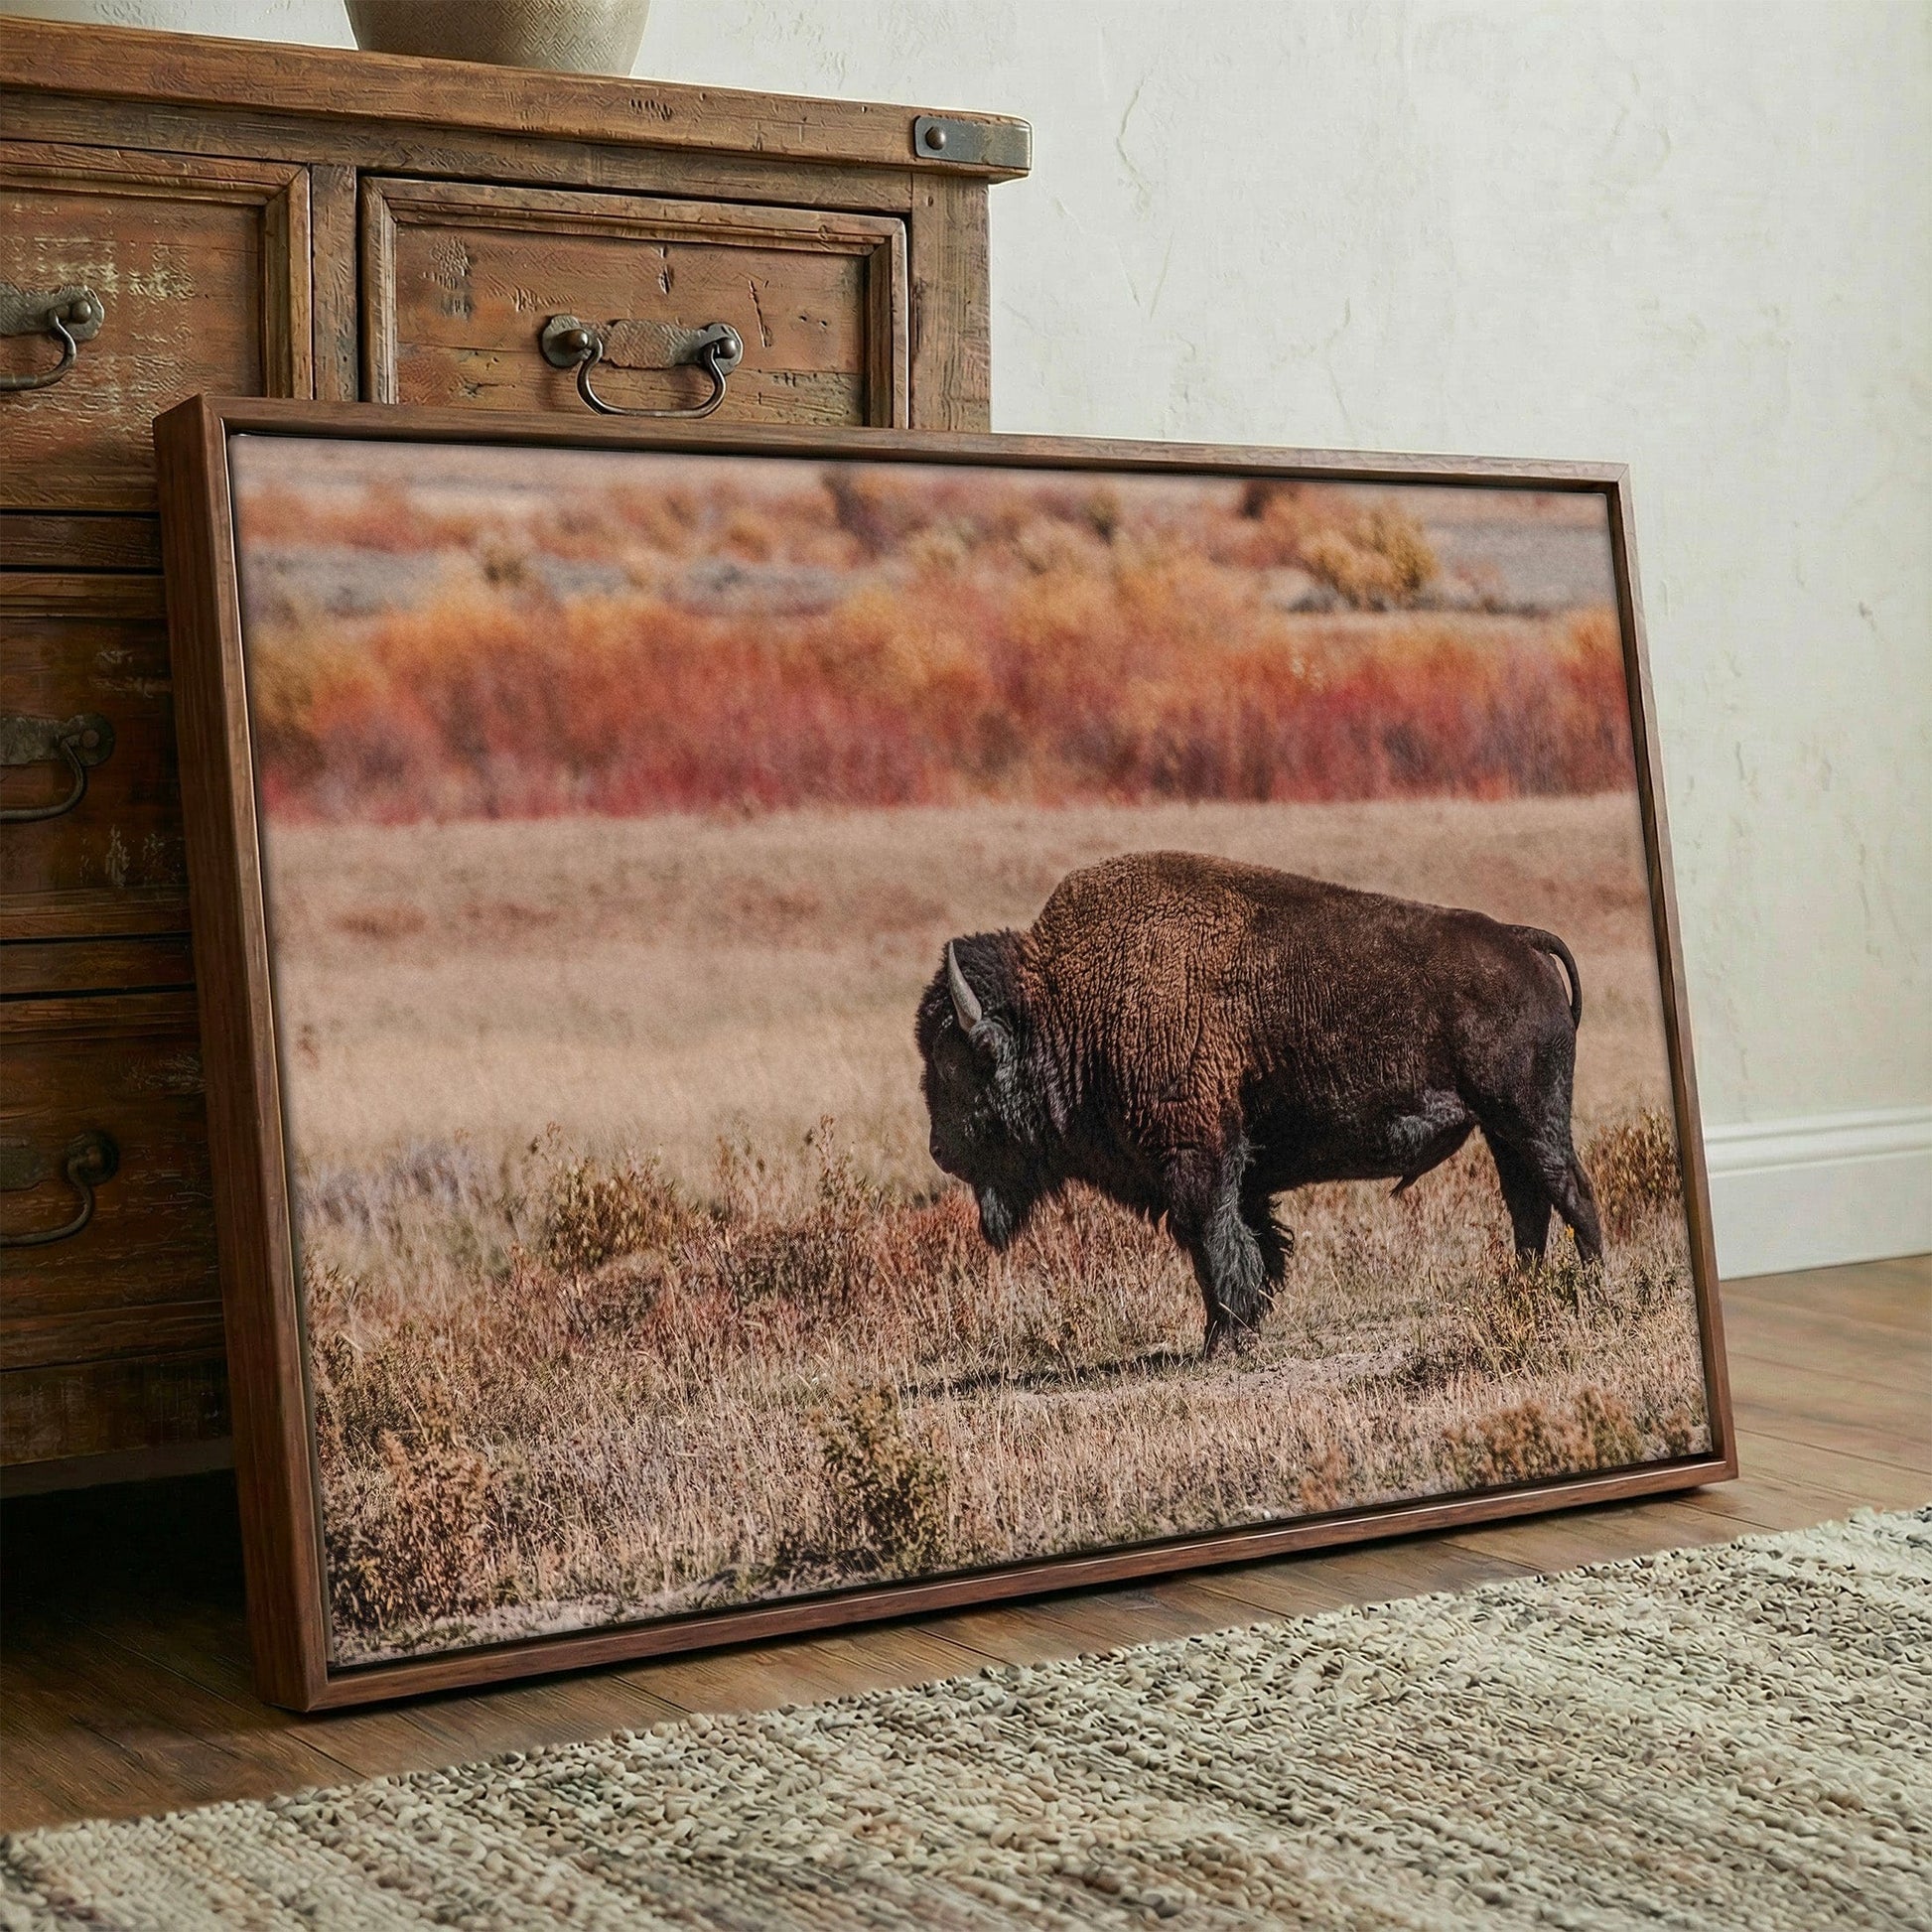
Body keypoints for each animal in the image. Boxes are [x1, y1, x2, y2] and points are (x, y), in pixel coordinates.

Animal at [916, 851, 1603, 1356]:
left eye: (953, 1065)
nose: (939, 1150)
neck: (1069, 1003)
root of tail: (1520, 941)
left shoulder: (1195, 1159)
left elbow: (1214, 1243)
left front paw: (1221, 1341)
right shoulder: (1237, 1167)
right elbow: (1252, 1242)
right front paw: (1240, 1327)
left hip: (1530, 1119)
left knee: (1571, 1193)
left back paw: (1593, 1295)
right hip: (1502, 1131)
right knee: (1528, 1206)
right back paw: (1525, 1294)